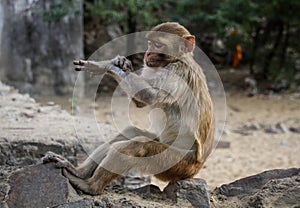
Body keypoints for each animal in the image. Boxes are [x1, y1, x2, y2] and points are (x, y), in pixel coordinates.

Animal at [42, 22, 216, 195]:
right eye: (150, 43)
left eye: (158, 45)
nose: (147, 54)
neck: (176, 59)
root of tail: (195, 170)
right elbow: (141, 102)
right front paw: (121, 63)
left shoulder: (177, 72)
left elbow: (150, 96)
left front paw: (108, 66)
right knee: (130, 132)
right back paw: (79, 172)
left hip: (176, 164)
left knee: (138, 146)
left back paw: (89, 186)